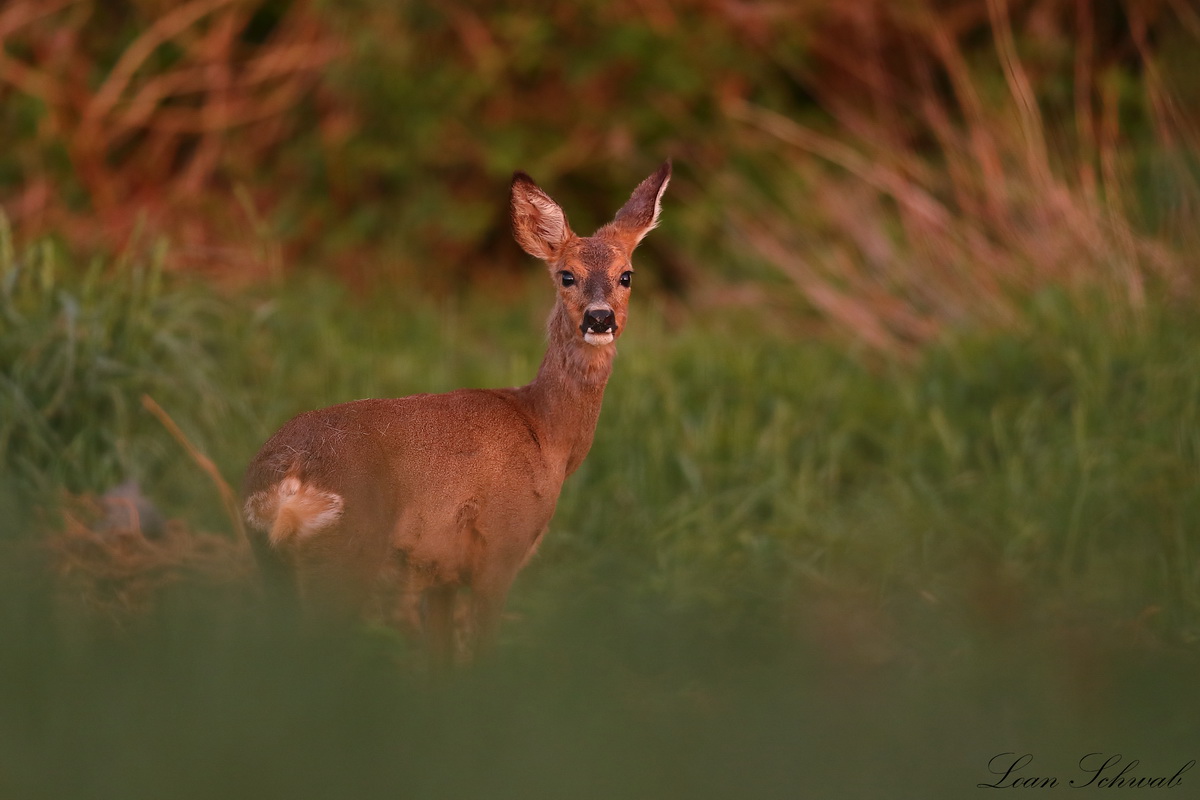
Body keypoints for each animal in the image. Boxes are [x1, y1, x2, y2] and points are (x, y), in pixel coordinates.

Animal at [238, 159, 672, 662]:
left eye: (627, 275)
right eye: (566, 275)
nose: (599, 319)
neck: (544, 432)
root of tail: (286, 481)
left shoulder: (439, 572)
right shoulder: (501, 547)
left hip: (272, 564)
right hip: (347, 553)